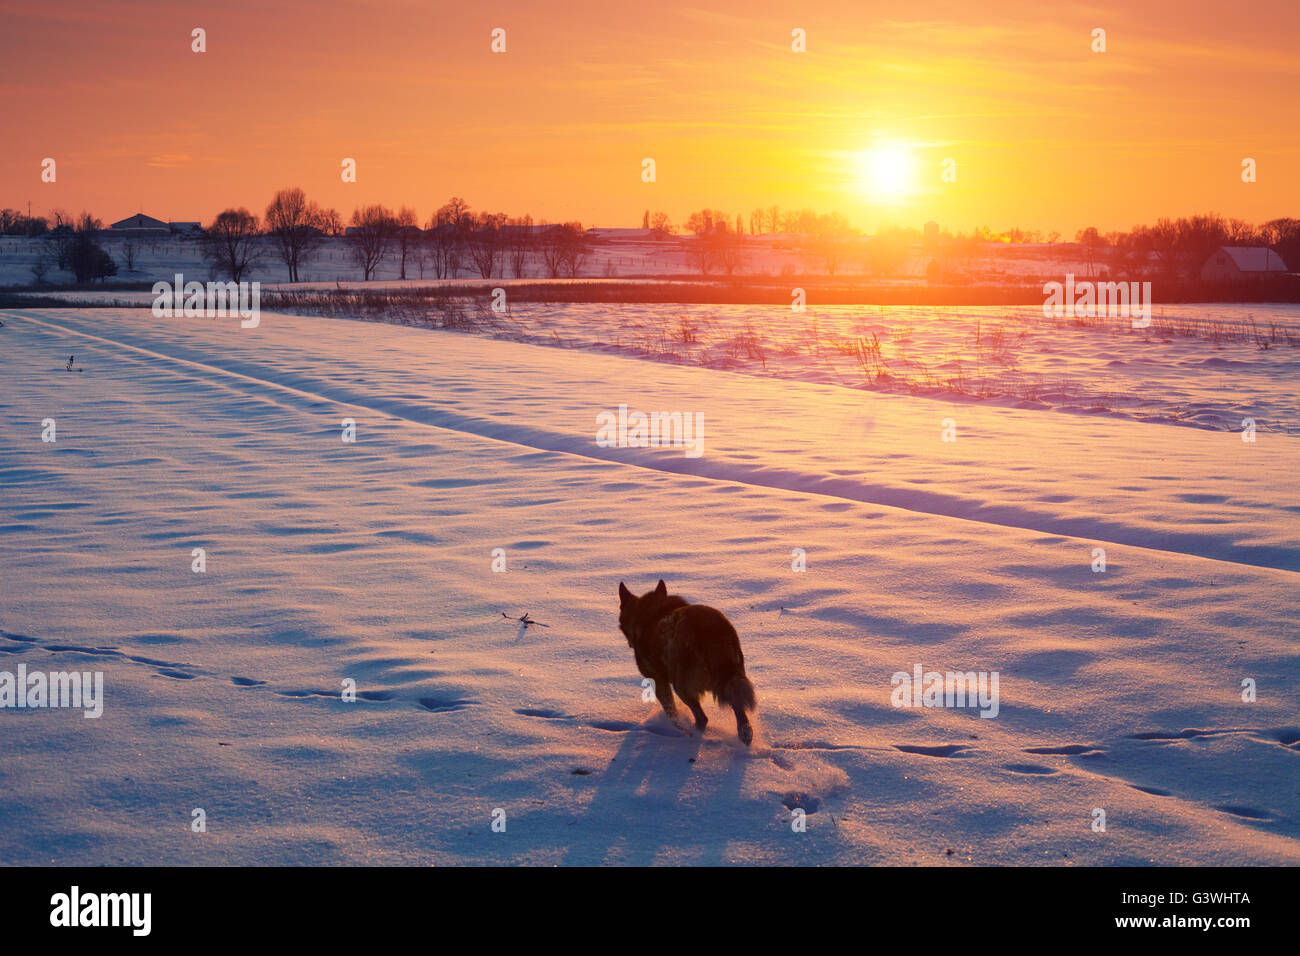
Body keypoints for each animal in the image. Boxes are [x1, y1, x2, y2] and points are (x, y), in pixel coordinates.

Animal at [616, 580, 759, 743]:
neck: (652, 613)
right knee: (740, 711)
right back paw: (744, 735)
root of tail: (712, 631)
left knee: (702, 718)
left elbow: (672, 713)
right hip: (732, 679)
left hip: (682, 686)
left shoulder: (659, 681)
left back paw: (691, 737)